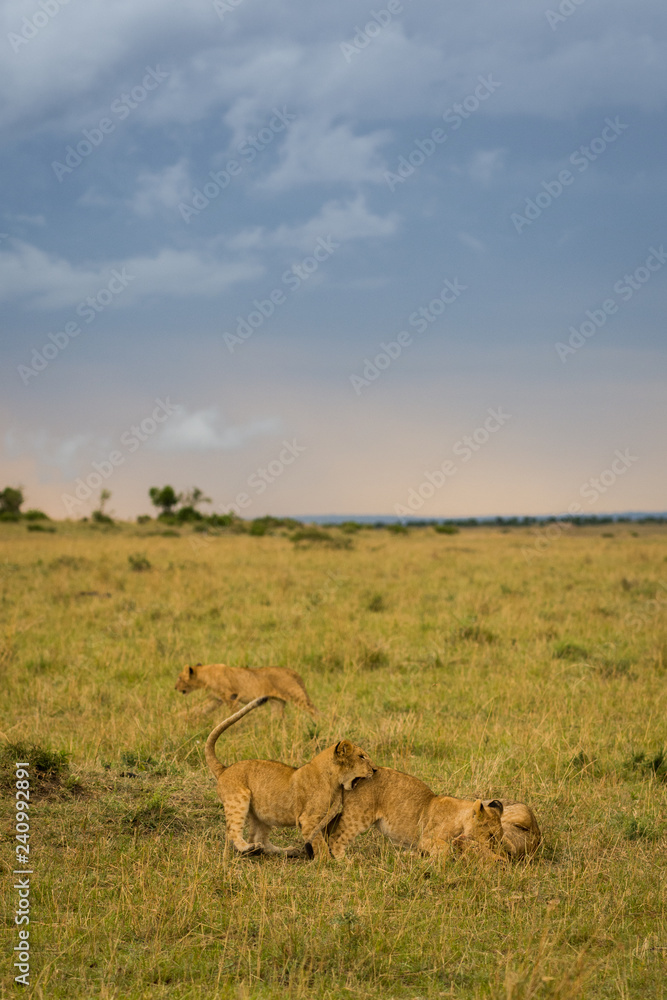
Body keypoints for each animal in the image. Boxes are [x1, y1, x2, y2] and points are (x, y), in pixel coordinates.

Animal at [175, 661, 317, 718]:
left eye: (180, 677)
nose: (175, 687)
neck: (205, 674)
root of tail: (293, 672)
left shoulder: (230, 697)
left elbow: (234, 712)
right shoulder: (215, 699)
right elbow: (198, 709)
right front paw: (180, 717)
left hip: (297, 697)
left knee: (314, 710)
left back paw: (318, 723)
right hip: (277, 702)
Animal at [205, 697, 376, 858]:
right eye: (362, 757)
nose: (375, 770)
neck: (334, 780)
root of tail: (224, 768)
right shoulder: (308, 819)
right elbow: (319, 842)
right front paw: (327, 861)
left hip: (263, 814)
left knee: (260, 839)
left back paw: (282, 850)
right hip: (238, 800)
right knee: (234, 833)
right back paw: (248, 848)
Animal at [327, 766, 505, 860]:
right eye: (491, 836)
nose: (497, 851)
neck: (461, 819)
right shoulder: (425, 838)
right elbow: (445, 847)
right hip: (358, 816)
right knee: (336, 837)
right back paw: (344, 861)